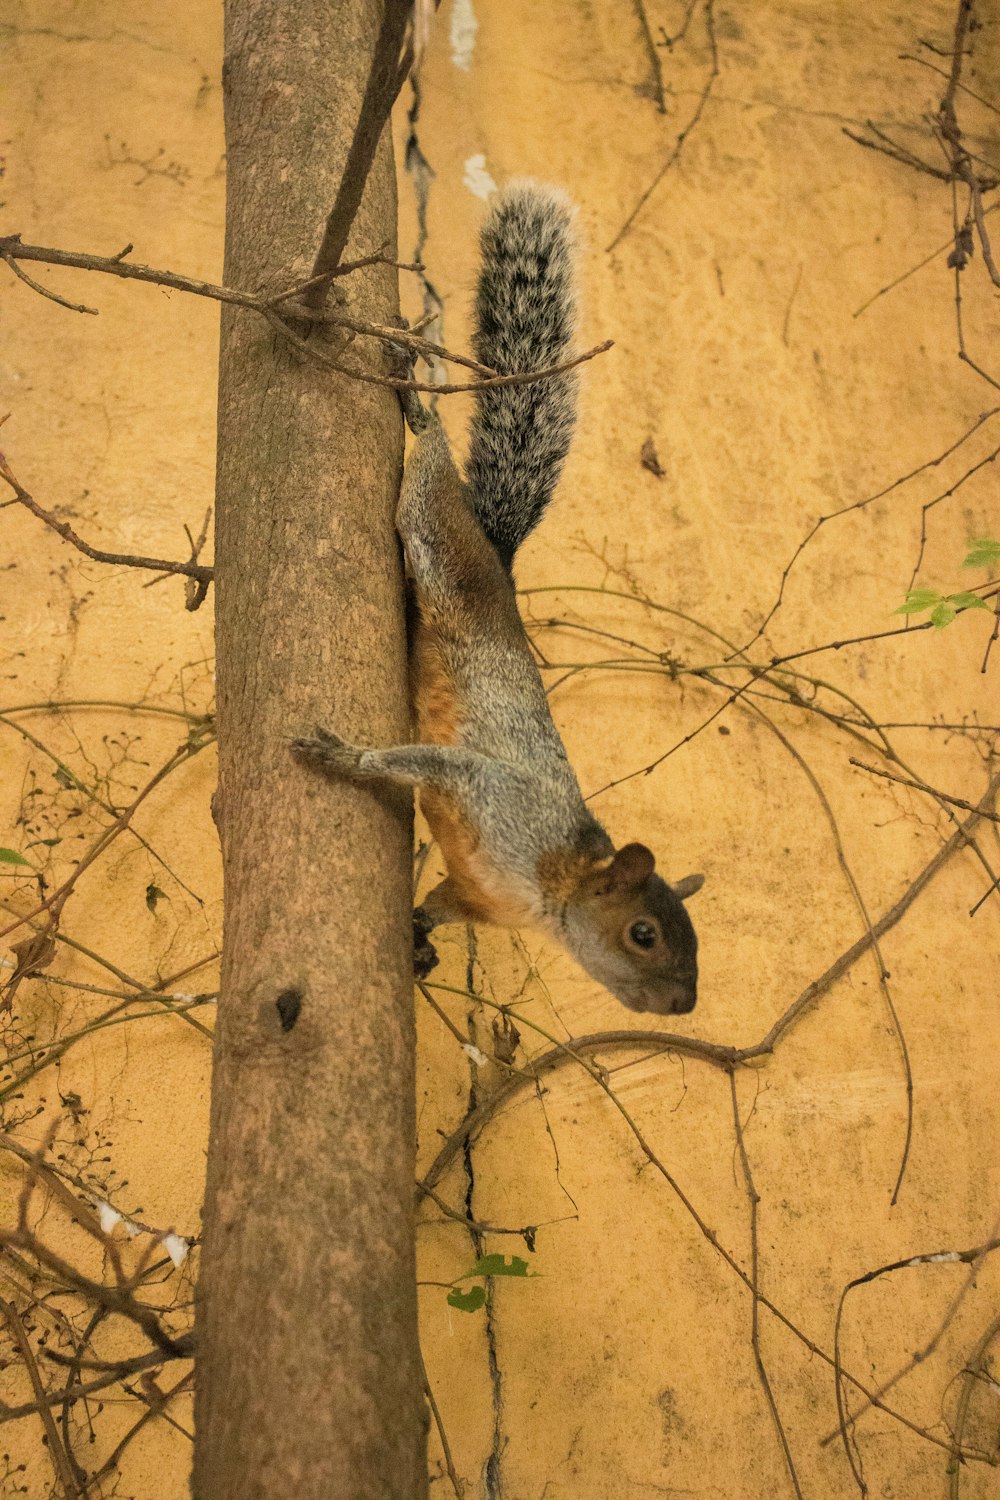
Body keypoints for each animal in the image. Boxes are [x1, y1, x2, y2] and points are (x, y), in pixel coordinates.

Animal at [293, 178, 704, 1020]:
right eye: (643, 933)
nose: (684, 1006)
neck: (549, 893)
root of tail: (495, 559)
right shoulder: (489, 791)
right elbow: (415, 759)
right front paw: (342, 755)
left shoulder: (476, 893)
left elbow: (439, 905)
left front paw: (420, 939)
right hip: (436, 537)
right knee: (430, 462)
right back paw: (418, 396)